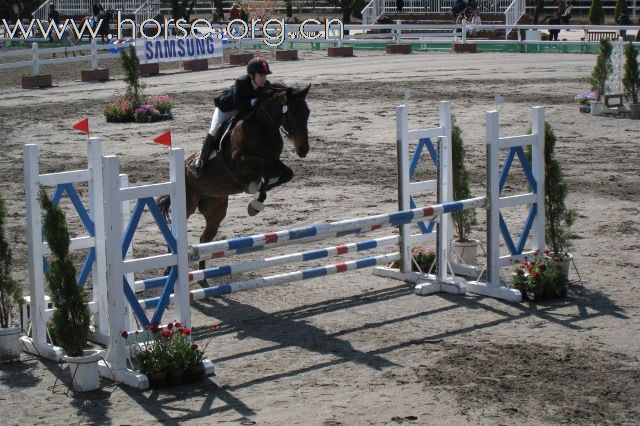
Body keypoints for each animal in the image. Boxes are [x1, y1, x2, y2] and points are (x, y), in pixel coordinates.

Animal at [159, 83, 312, 276]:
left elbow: (284, 173)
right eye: (291, 113)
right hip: (187, 204)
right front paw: (256, 197)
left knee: (204, 239)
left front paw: (257, 196)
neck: (263, 127)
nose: (303, 149)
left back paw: (203, 278)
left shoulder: (274, 162)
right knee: (175, 234)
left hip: (215, 210)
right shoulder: (240, 163)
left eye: (307, 112)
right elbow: (264, 166)